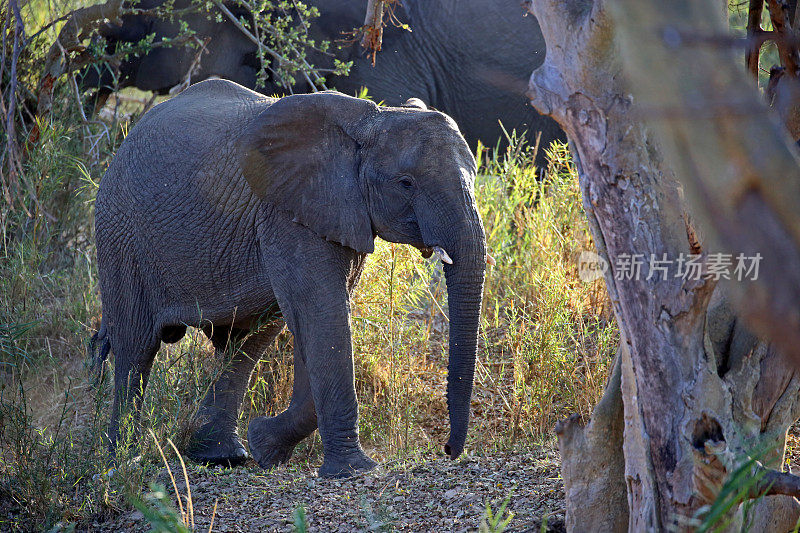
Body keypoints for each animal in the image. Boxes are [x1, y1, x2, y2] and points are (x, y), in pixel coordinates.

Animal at [89, 78, 488, 478]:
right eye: (406, 183)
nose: (448, 449)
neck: (371, 122)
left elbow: (316, 320)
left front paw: (265, 445)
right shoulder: (288, 214)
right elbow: (322, 317)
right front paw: (353, 470)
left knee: (244, 346)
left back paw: (221, 456)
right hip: (120, 233)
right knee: (136, 346)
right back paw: (121, 463)